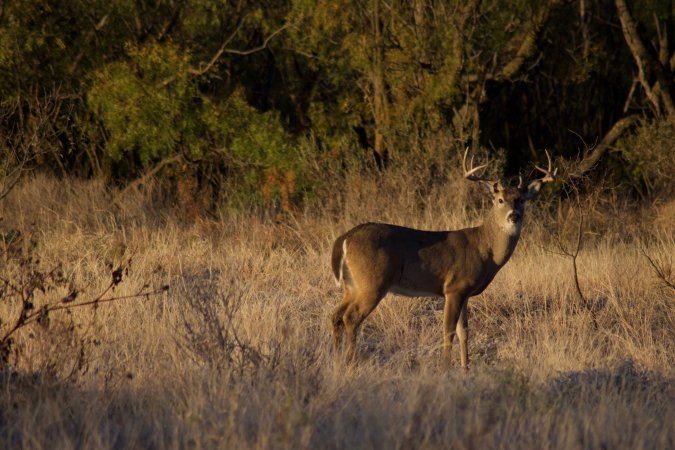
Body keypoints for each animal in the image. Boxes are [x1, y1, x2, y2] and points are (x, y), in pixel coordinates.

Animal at [330, 149, 556, 368]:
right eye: (499, 200)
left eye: (521, 200)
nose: (513, 216)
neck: (485, 249)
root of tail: (345, 238)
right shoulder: (454, 287)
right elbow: (448, 332)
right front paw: (445, 368)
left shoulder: (465, 293)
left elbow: (464, 332)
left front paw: (466, 369)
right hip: (372, 282)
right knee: (351, 317)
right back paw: (351, 363)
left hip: (352, 285)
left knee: (336, 316)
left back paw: (337, 361)